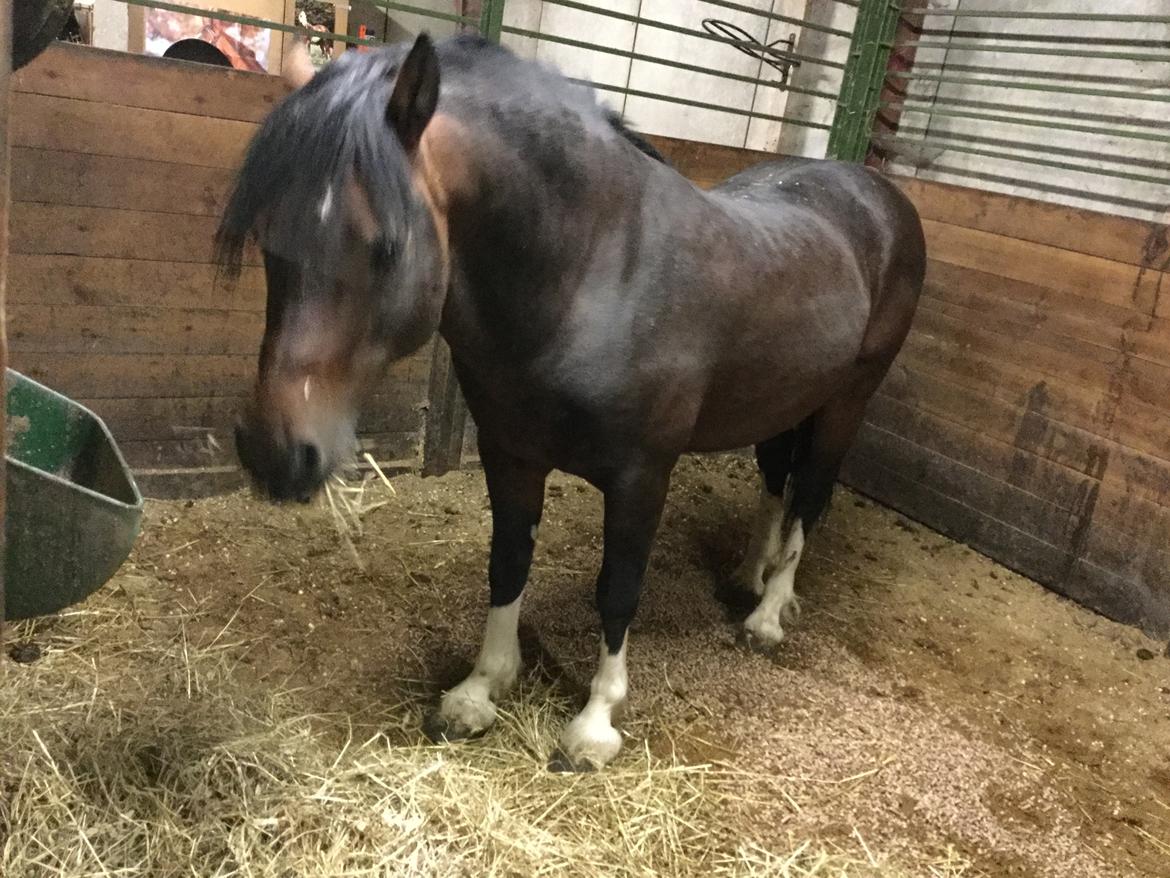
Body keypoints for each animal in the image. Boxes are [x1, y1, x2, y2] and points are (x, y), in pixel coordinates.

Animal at [217, 34, 921, 772]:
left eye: (385, 246)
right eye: (265, 237)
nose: (273, 451)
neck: (595, 271)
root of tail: (878, 192)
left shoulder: (641, 476)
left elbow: (618, 589)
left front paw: (594, 724)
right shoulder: (511, 454)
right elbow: (507, 564)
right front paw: (480, 690)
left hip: (846, 402)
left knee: (812, 493)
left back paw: (767, 615)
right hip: (783, 401)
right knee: (777, 482)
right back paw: (748, 578)